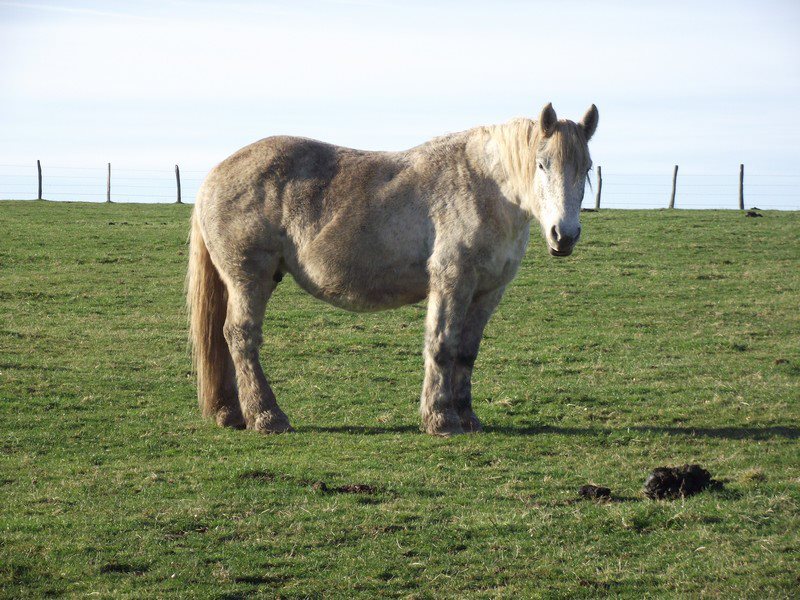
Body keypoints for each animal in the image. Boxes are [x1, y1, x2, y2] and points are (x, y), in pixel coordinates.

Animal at [188, 103, 596, 436]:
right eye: (541, 164)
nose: (564, 235)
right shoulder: (451, 282)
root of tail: (213, 176)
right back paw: (267, 417)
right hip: (250, 279)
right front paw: (441, 419)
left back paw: (232, 413)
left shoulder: (487, 291)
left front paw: (467, 418)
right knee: (241, 336)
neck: (486, 188)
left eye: (587, 168)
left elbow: (466, 352)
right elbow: (442, 345)